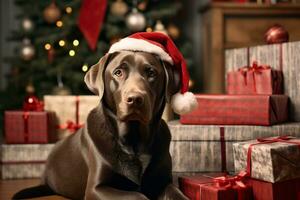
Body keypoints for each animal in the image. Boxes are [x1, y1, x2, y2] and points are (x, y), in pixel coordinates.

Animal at [14, 50, 189, 199]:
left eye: (151, 73)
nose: (135, 99)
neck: (134, 141)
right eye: (118, 72)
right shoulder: (96, 189)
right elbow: (137, 195)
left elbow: (176, 193)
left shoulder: (164, 182)